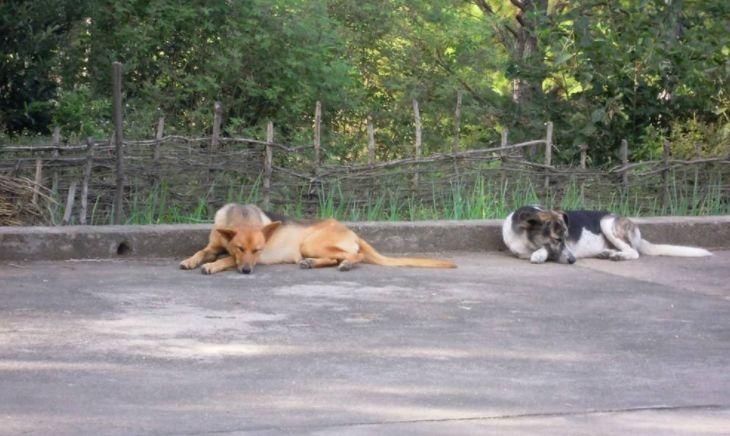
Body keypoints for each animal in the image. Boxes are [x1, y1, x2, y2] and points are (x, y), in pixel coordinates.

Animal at [500, 206, 712, 264]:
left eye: (565, 238)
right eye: (557, 239)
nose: (573, 260)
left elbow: (542, 250)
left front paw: (538, 254)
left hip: (608, 223)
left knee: (634, 252)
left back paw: (617, 256)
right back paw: (608, 253)